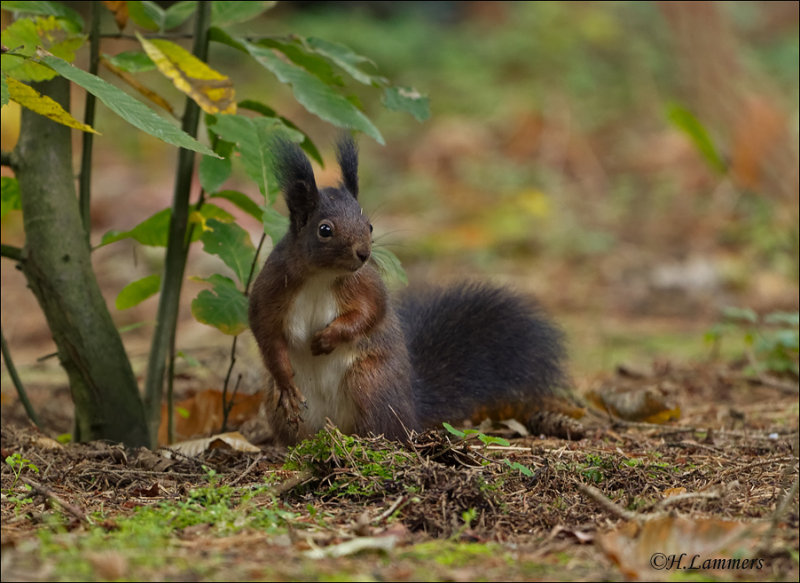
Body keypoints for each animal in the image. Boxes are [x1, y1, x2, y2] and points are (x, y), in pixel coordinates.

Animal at [247, 138, 572, 448]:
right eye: (324, 230)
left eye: (369, 225)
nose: (363, 254)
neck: (321, 277)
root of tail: (411, 410)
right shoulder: (271, 289)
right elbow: (266, 335)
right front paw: (287, 384)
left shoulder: (364, 283)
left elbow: (370, 311)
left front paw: (329, 337)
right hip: (285, 409)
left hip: (371, 382)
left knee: (385, 428)